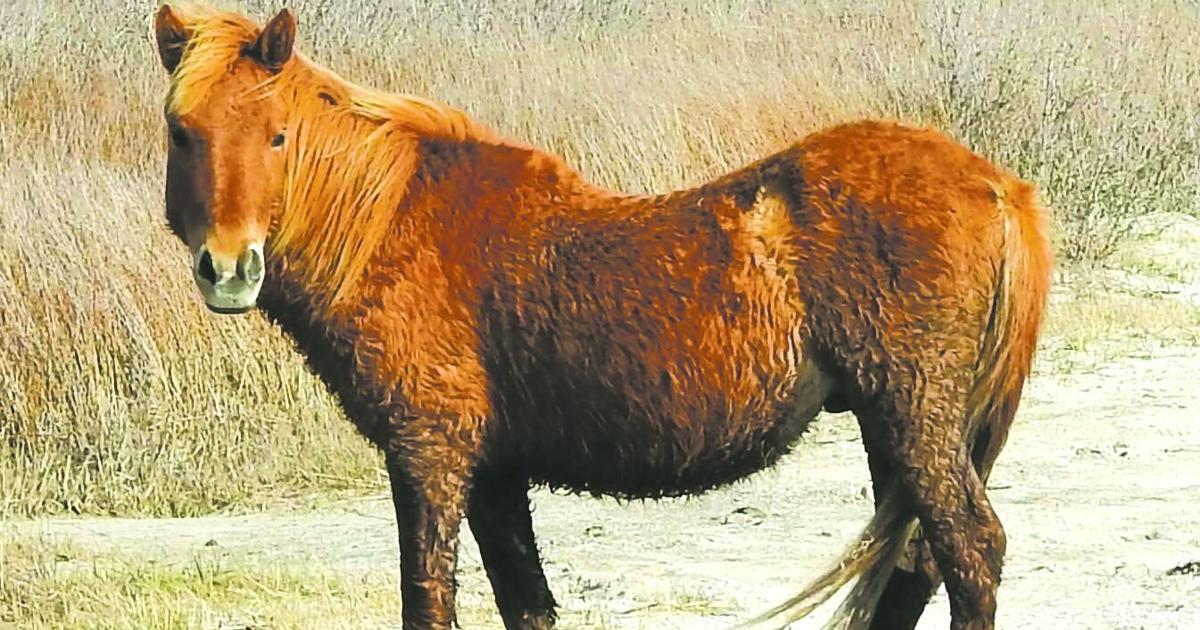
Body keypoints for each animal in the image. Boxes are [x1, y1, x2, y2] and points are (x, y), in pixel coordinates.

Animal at [151, 4, 1052, 629]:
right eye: (182, 132)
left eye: (277, 136)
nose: (228, 270)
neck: (390, 220)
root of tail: (996, 184)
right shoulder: (494, 472)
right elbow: (527, 602)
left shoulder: (428, 454)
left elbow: (427, 599)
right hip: (893, 426)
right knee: (916, 563)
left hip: (913, 415)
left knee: (968, 552)